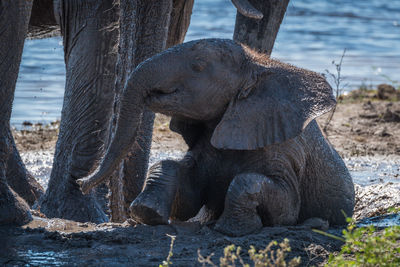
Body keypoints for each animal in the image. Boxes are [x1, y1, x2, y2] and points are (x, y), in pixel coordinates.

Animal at [76, 38, 354, 237]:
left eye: (198, 66)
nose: (81, 183)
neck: (258, 64)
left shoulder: (284, 149)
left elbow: (284, 208)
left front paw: (230, 231)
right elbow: (185, 197)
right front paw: (146, 214)